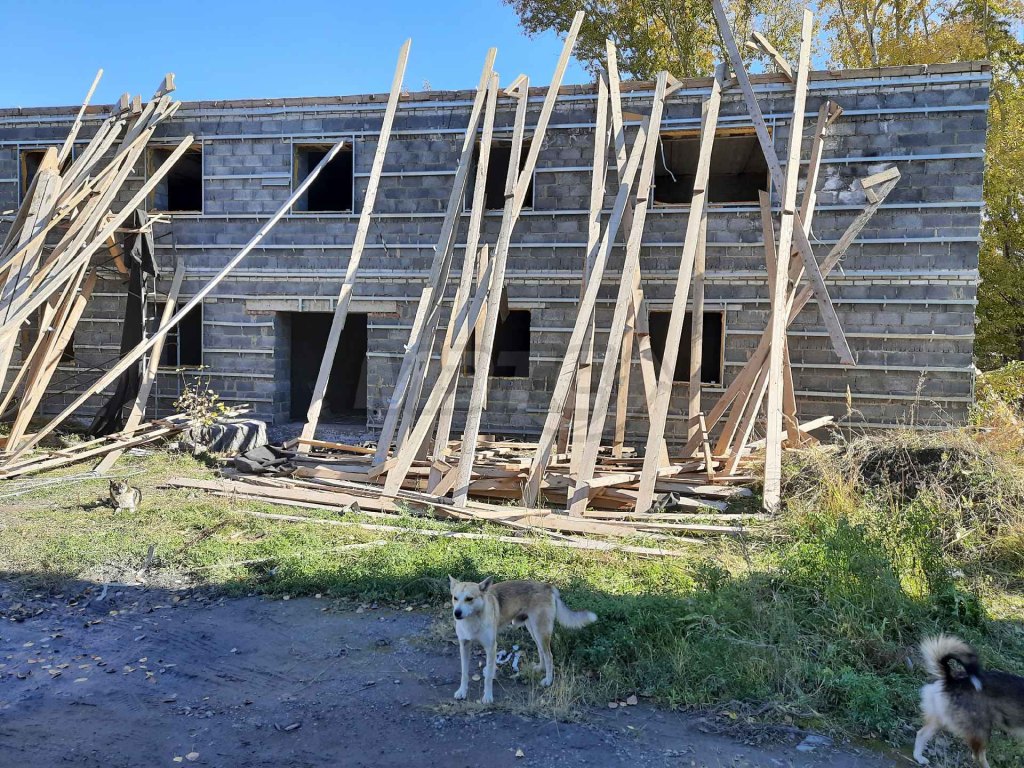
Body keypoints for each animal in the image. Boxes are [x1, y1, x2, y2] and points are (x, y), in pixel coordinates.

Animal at [444, 577, 598, 704]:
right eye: (455, 598)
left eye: (469, 599)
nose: (457, 613)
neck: (472, 620)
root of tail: (547, 586)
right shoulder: (464, 646)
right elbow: (464, 673)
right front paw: (462, 692)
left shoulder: (491, 648)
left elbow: (488, 677)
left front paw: (487, 697)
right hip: (533, 630)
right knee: (541, 651)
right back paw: (540, 668)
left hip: (540, 631)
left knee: (549, 656)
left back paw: (548, 680)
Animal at [913, 634, 1024, 765]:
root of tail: (951, 680)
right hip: (981, 730)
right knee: (978, 757)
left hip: (939, 719)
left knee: (921, 734)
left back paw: (919, 757)